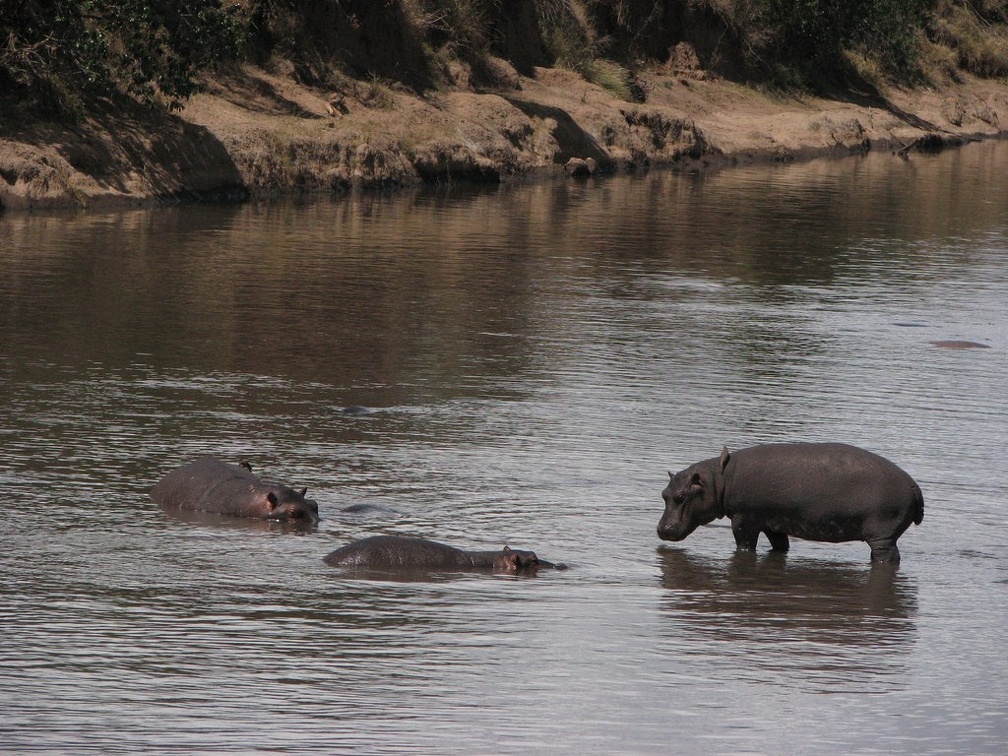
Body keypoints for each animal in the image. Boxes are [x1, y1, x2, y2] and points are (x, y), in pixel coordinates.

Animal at [657, 443, 923, 564]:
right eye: (664, 494)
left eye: (681, 497)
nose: (661, 529)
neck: (718, 480)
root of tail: (914, 486)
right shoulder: (772, 523)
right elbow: (780, 546)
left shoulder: (744, 520)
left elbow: (744, 545)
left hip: (882, 536)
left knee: (888, 556)